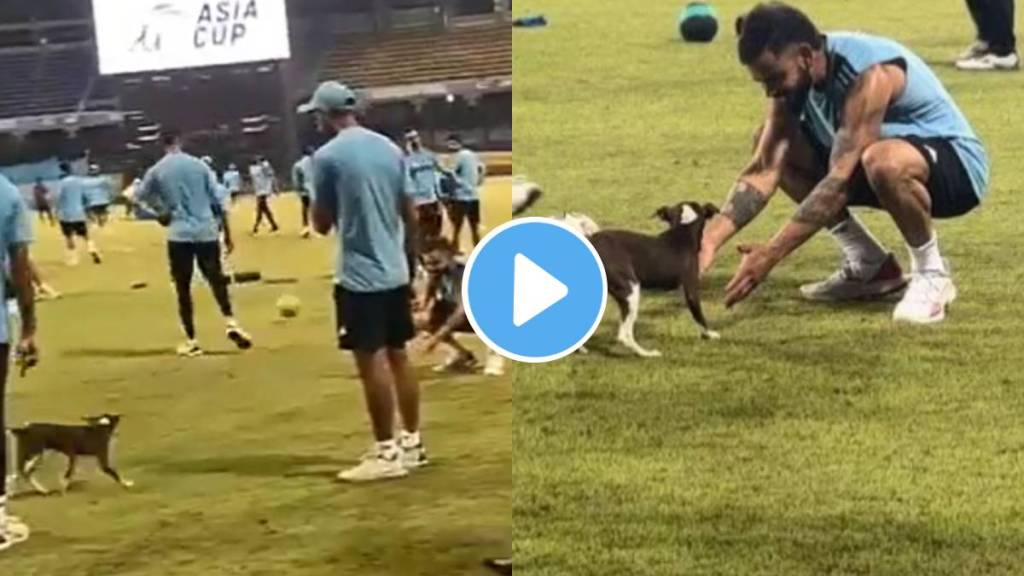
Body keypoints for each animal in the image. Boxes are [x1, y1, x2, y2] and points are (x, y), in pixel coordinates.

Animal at [585, 200, 720, 354]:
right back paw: (647, 353)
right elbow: (699, 315)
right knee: (624, 336)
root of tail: (592, 240)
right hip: (631, 291)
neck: (683, 232)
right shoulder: (690, 289)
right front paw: (710, 334)